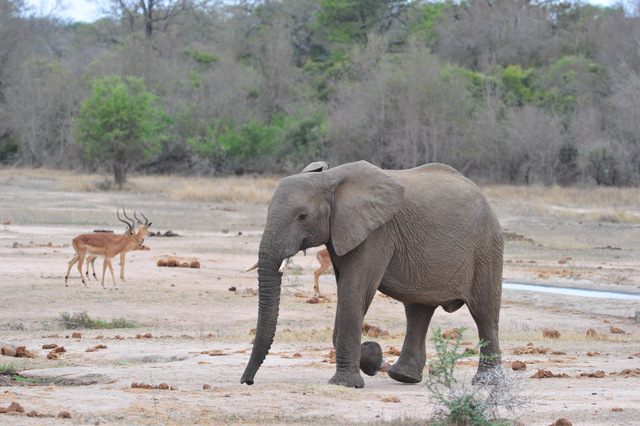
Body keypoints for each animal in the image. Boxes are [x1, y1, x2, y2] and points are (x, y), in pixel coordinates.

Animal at [241, 160, 504, 388]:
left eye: (302, 217)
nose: (247, 381)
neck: (331, 180)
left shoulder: (376, 232)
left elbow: (355, 290)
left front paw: (348, 382)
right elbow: (346, 292)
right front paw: (374, 358)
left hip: (487, 246)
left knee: (484, 314)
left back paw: (486, 383)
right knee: (417, 311)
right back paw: (404, 376)